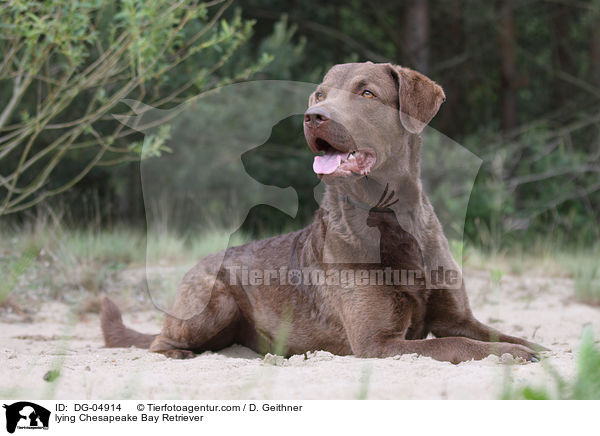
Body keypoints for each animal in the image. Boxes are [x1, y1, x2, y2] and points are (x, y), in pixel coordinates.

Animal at [102, 60, 544, 362]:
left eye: (367, 93)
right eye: (320, 94)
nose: (314, 116)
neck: (388, 218)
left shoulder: (457, 316)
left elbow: (499, 334)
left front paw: (535, 348)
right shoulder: (377, 342)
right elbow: (460, 344)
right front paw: (515, 356)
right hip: (214, 302)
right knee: (158, 342)